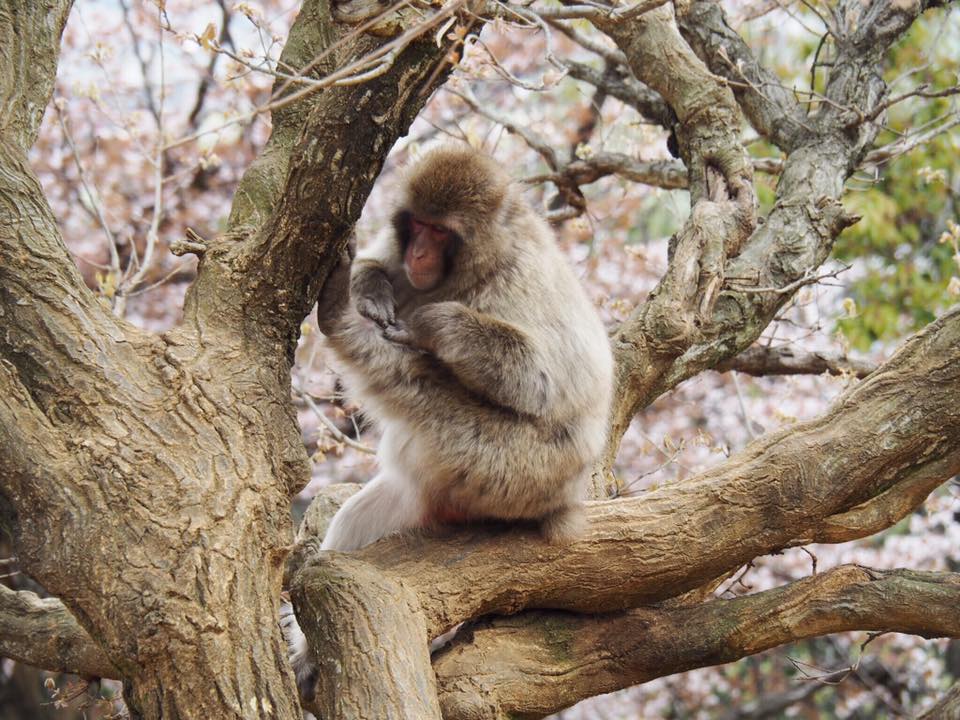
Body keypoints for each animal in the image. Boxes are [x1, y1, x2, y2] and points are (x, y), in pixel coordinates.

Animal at [286, 146, 616, 692]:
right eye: (416, 225)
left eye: (440, 233)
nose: (418, 255)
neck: (481, 262)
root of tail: (565, 501)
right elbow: (378, 262)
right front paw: (369, 283)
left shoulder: (518, 279)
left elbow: (545, 381)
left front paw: (434, 325)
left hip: (511, 469)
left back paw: (340, 318)